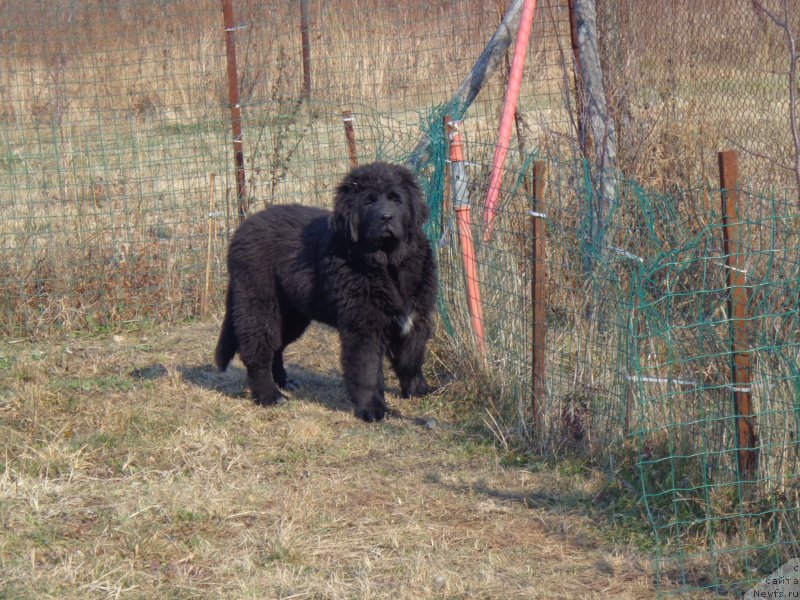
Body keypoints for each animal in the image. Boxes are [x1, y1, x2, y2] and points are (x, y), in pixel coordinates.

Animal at [212, 162, 438, 420]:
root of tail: (243, 227)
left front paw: (418, 391)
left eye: (396, 199)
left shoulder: (415, 318)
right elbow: (368, 370)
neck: (388, 265)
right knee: (257, 351)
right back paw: (270, 395)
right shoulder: (364, 325)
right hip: (259, 305)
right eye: (368, 202)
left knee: (276, 346)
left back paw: (285, 382)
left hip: (292, 315)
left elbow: (412, 359)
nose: (386, 217)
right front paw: (372, 409)